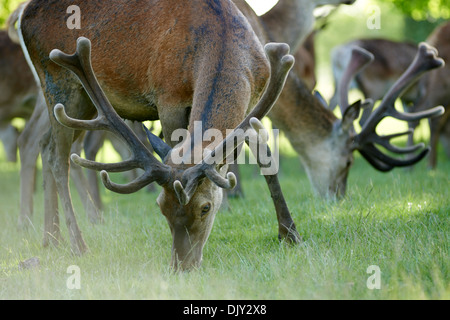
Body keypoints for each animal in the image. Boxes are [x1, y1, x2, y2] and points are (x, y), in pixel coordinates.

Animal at [16, 0, 298, 270]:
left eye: (205, 208)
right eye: (161, 206)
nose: (181, 266)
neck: (223, 39)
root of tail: (22, 15)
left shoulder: (254, 104)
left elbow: (266, 158)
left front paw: (289, 233)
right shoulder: (168, 99)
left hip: (84, 102)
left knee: (47, 147)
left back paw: (51, 238)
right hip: (56, 80)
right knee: (58, 158)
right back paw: (77, 244)